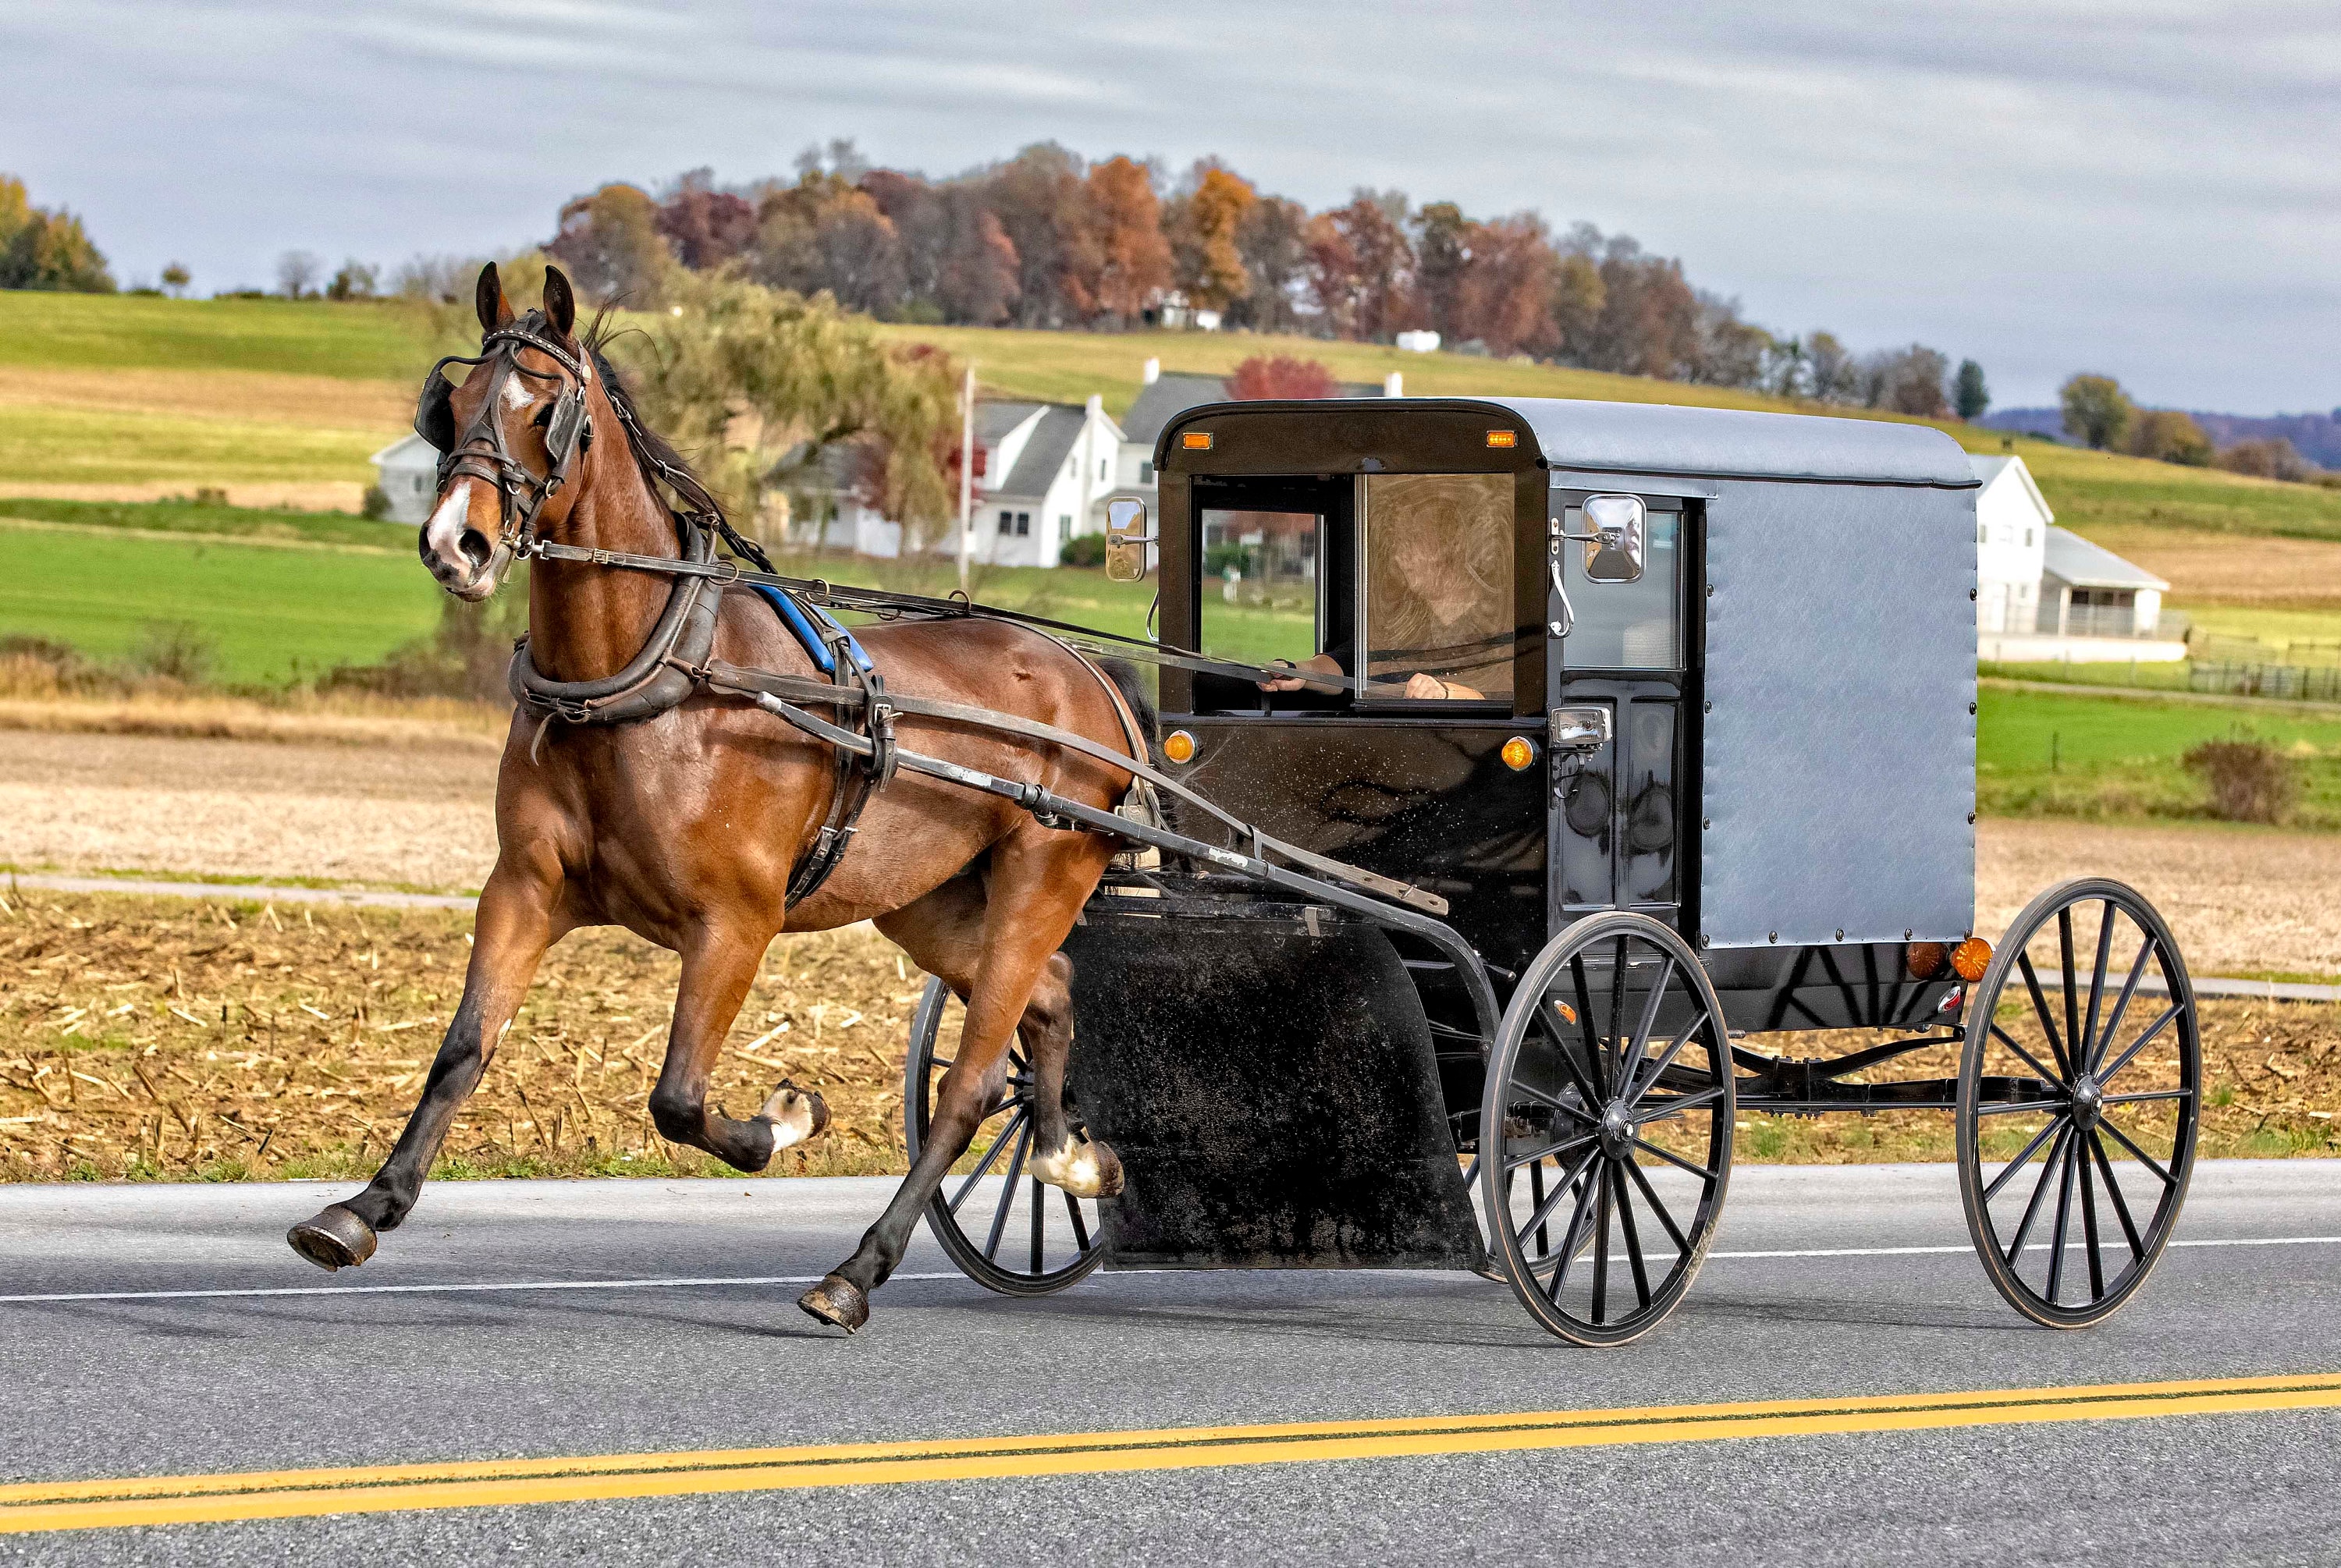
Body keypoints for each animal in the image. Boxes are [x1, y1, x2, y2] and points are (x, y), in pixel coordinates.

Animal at [288, 264, 1147, 1329]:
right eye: (453, 404)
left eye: (547, 410)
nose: (460, 544)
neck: (650, 676)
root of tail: (1094, 678)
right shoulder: (524, 888)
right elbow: (464, 1048)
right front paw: (366, 1206)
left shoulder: (737, 922)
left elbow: (680, 1099)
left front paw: (785, 1120)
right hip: (929, 902)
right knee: (1051, 1001)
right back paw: (1069, 1156)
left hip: (1042, 873)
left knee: (973, 1080)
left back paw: (856, 1271)